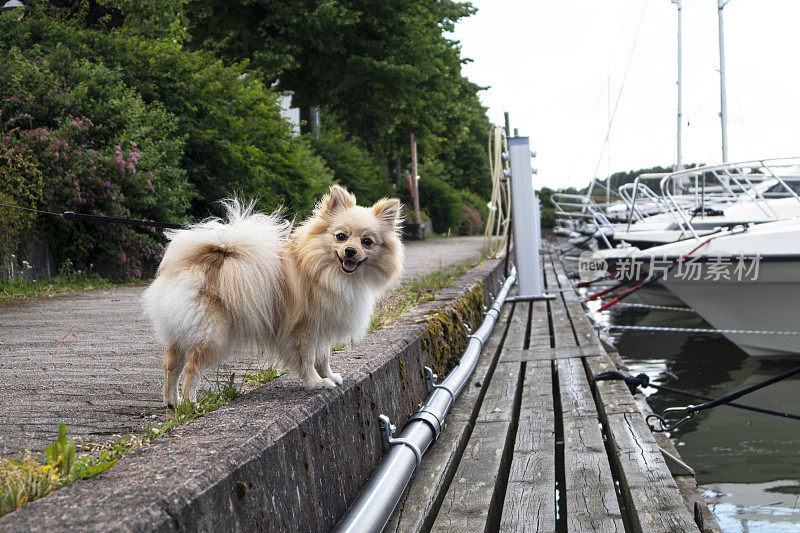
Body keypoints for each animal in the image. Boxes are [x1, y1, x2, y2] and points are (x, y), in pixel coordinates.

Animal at [141, 185, 404, 406]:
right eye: (341, 236)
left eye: (367, 242)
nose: (350, 250)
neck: (325, 270)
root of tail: (212, 258)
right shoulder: (305, 329)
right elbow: (308, 359)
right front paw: (316, 383)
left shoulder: (322, 328)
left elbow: (323, 357)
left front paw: (329, 376)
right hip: (213, 335)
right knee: (191, 367)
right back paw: (189, 403)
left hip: (183, 330)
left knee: (171, 365)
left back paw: (171, 402)